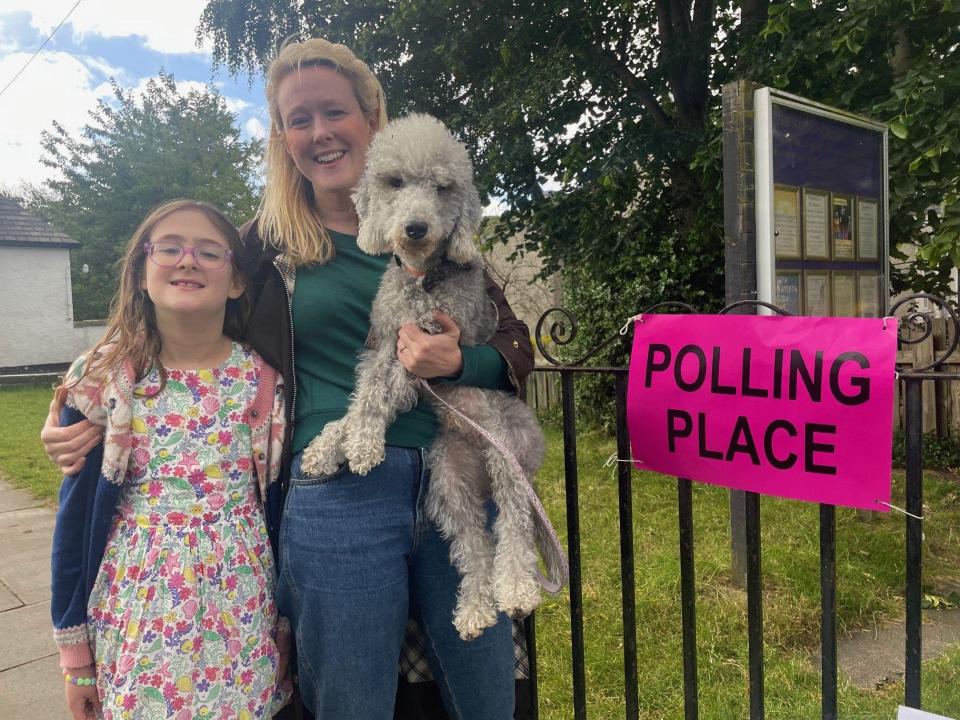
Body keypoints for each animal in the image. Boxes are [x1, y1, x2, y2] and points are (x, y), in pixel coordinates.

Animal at [304, 114, 568, 640]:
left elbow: (377, 400)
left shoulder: (421, 353)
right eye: (395, 182)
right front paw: (331, 445)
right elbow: (362, 397)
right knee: (475, 548)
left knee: (513, 527)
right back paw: (475, 610)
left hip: (508, 454)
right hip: (449, 482)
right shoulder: (385, 344)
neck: (423, 280)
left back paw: (516, 590)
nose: (416, 227)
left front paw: (361, 446)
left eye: (443, 187)